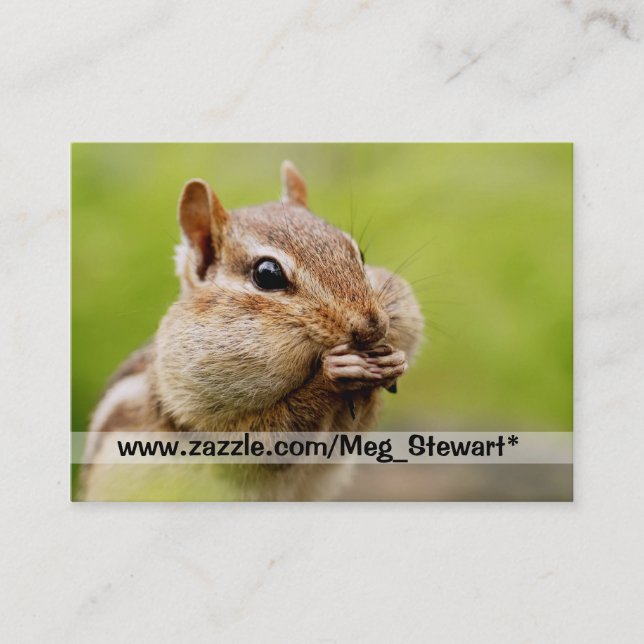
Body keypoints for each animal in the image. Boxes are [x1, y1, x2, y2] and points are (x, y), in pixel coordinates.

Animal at [78, 161, 423, 501]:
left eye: (358, 255)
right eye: (267, 274)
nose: (372, 327)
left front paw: (393, 363)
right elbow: (272, 434)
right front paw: (335, 372)